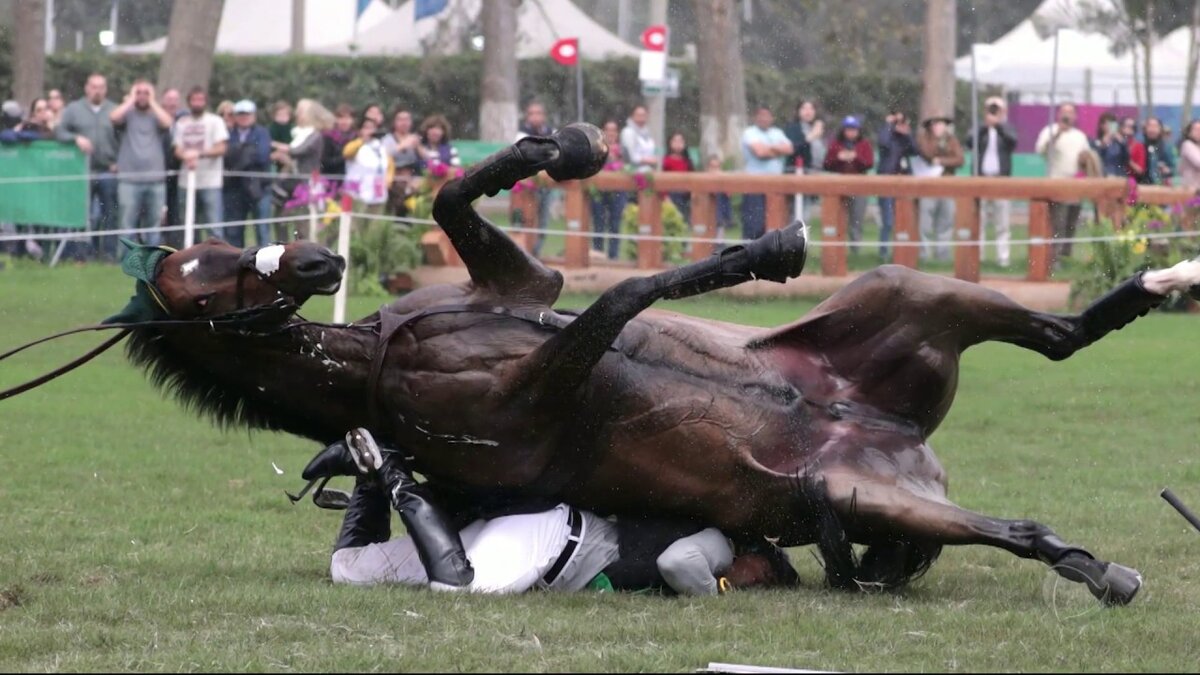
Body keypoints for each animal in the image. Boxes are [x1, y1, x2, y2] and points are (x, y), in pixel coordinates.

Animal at [11, 123, 1200, 600]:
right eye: (194, 273)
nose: (311, 256)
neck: (376, 361)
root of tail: (905, 448)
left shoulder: (525, 290)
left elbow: (457, 200)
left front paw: (562, 148)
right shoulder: (548, 380)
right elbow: (628, 294)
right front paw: (756, 250)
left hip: (909, 298)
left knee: (1058, 336)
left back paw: (1165, 277)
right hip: (864, 492)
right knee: (1023, 525)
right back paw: (1101, 571)